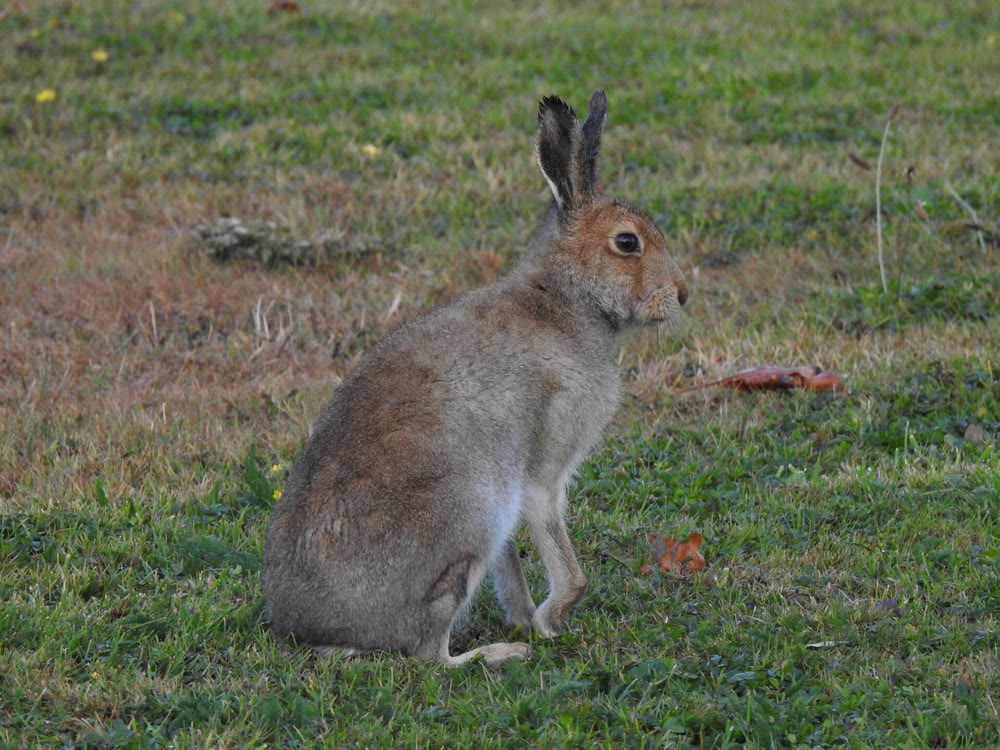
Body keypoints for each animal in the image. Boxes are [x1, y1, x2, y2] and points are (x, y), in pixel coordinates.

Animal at [263, 91, 688, 667]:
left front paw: (528, 616)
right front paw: (549, 623)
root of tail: (319, 630)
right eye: (627, 242)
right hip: (469, 520)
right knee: (429, 655)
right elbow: (565, 560)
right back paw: (502, 652)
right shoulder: (542, 472)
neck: (564, 300)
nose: (682, 294)